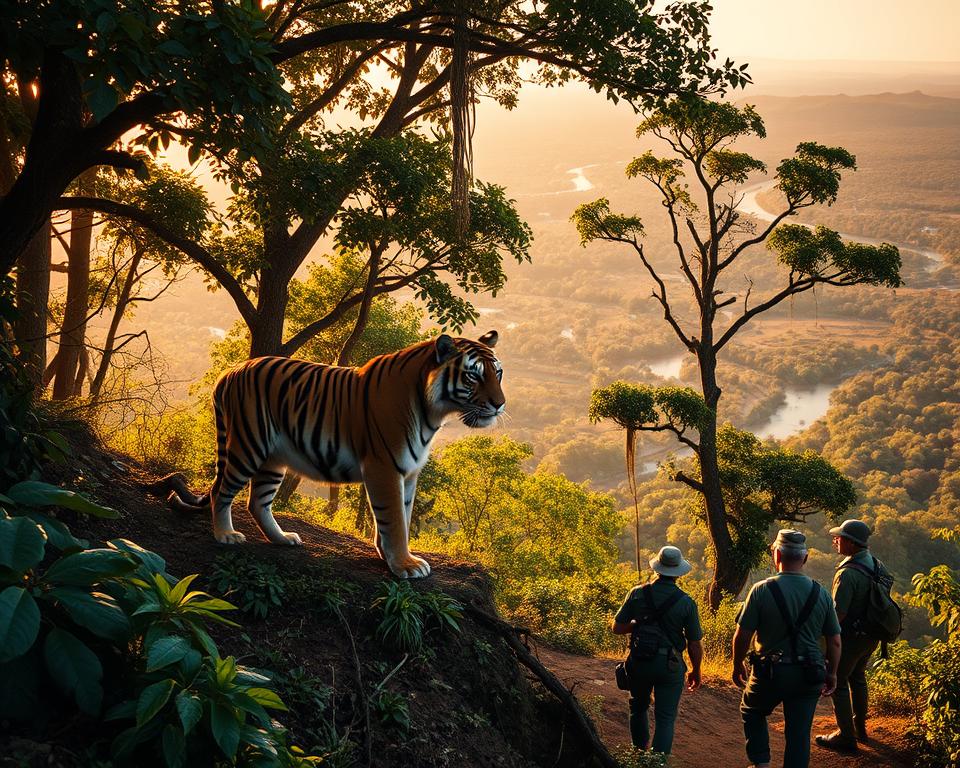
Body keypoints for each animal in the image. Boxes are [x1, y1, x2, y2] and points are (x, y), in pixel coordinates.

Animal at [170, 331, 504, 578]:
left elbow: (404, 515)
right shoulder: (385, 467)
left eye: (498, 373)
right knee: (221, 492)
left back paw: (283, 539)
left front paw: (392, 556)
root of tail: (231, 371)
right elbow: (395, 519)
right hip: (248, 445)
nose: (500, 404)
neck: (432, 412)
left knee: (257, 502)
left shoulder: (409, 472)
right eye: (473, 376)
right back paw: (225, 534)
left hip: (274, 458)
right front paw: (404, 565)